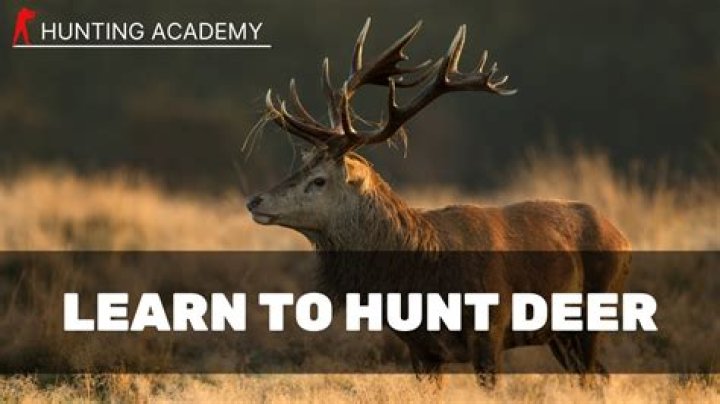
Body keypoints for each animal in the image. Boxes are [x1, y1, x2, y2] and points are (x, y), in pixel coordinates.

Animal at [245, 18, 631, 388]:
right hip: (560, 335)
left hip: (593, 312)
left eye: (319, 180)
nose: (255, 200)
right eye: (300, 166)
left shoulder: (490, 330)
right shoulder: (420, 348)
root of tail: (623, 237)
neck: (424, 275)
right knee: (600, 375)